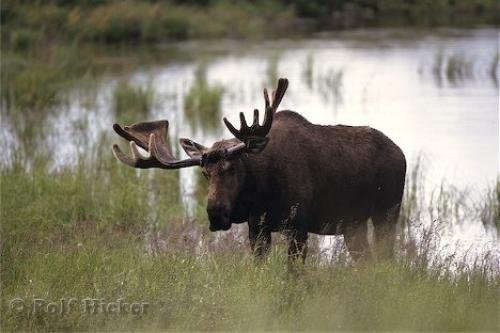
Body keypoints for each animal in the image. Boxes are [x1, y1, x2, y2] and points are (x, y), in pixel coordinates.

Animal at [113, 78, 406, 260]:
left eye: (232, 168)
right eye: (205, 173)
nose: (216, 215)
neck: (261, 192)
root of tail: (401, 154)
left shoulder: (298, 227)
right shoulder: (258, 229)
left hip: (387, 213)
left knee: (386, 258)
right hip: (353, 225)